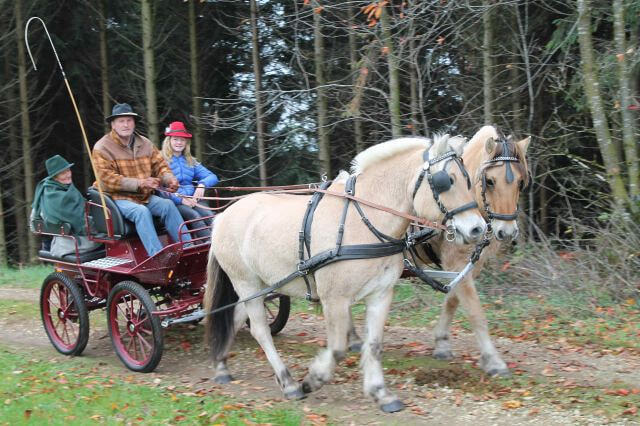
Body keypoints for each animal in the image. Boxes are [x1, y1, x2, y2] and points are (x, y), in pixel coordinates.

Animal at [203, 134, 487, 413]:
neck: (362, 221)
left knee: (235, 317)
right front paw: (314, 379)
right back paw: (288, 382)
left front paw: (381, 393)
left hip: (262, 285)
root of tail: (222, 216)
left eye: (469, 180)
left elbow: (374, 344)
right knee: (260, 330)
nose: (478, 229)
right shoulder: (334, 299)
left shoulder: (381, 294)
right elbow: (338, 348)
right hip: (246, 282)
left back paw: (221, 365)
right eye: (446, 181)